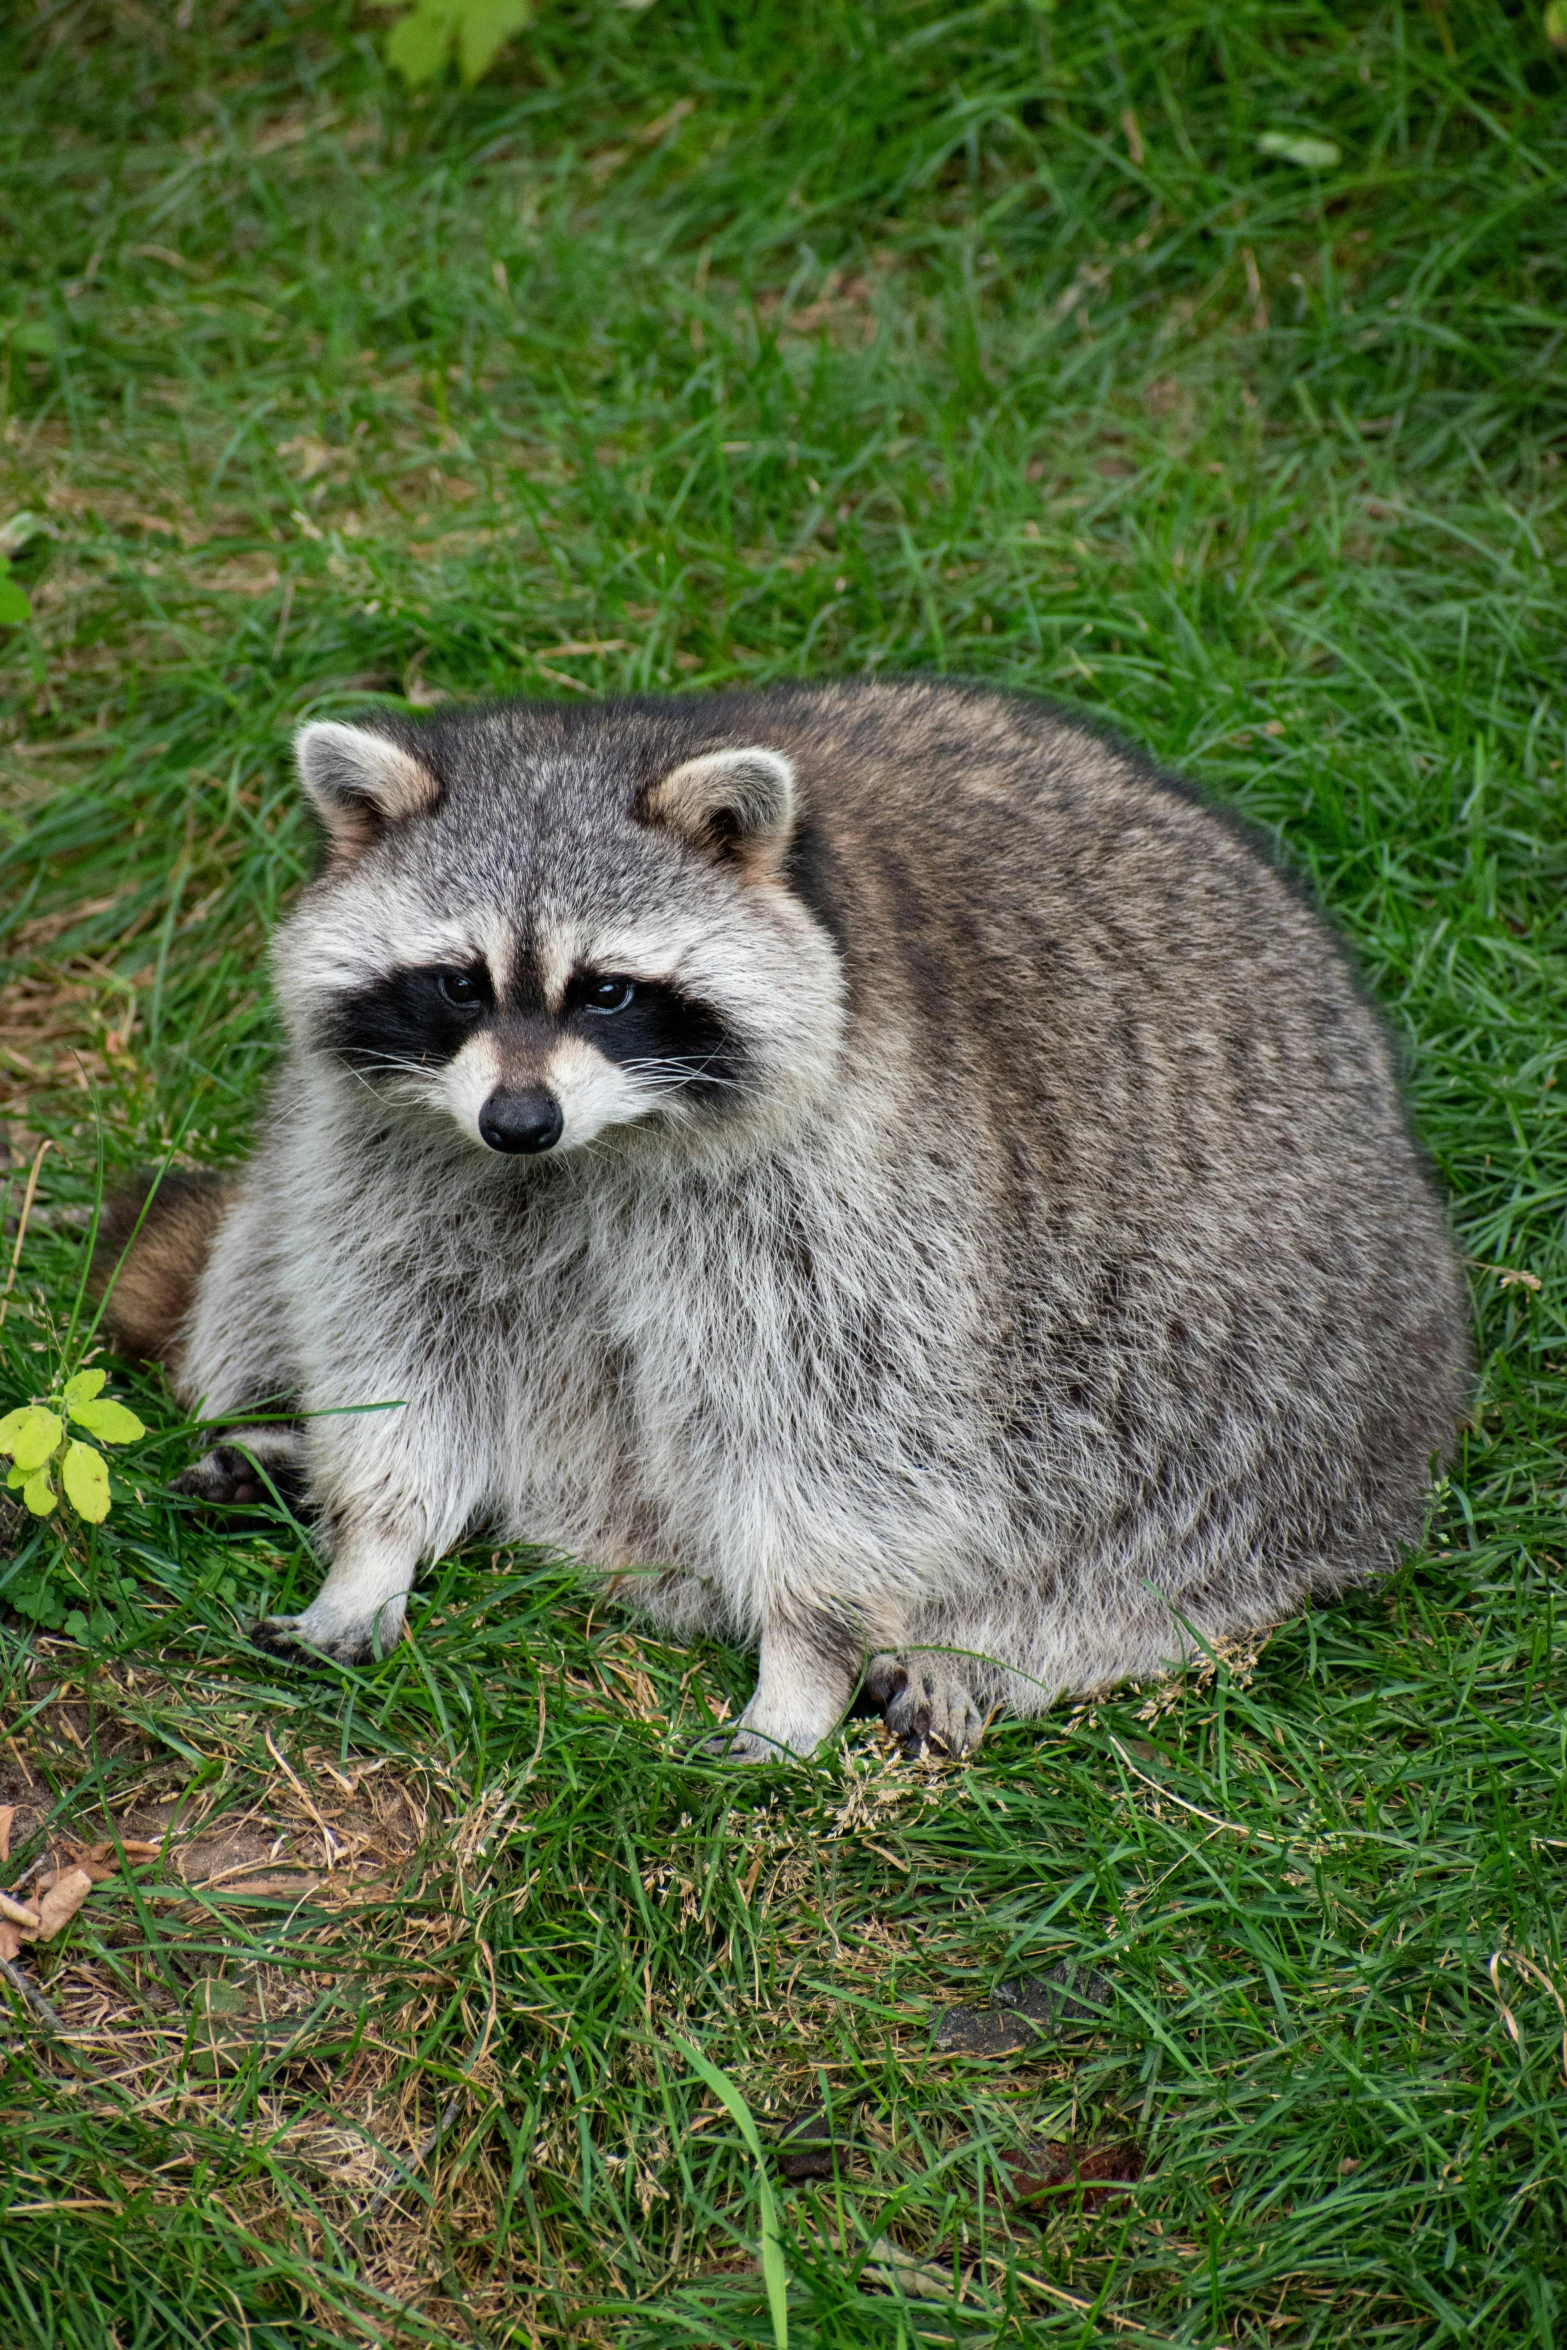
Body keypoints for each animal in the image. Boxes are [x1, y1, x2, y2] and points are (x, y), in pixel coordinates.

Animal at [107, 681, 1475, 1767]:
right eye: (457, 982)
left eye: (609, 991)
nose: (518, 1120)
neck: (591, 1155)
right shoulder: (399, 1154)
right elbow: (399, 1341)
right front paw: (374, 1543)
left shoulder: (863, 1189)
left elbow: (841, 1429)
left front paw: (803, 1660)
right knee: (258, 1252)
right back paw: (283, 1442)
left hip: (1282, 1356)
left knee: (1168, 1509)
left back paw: (999, 1645)